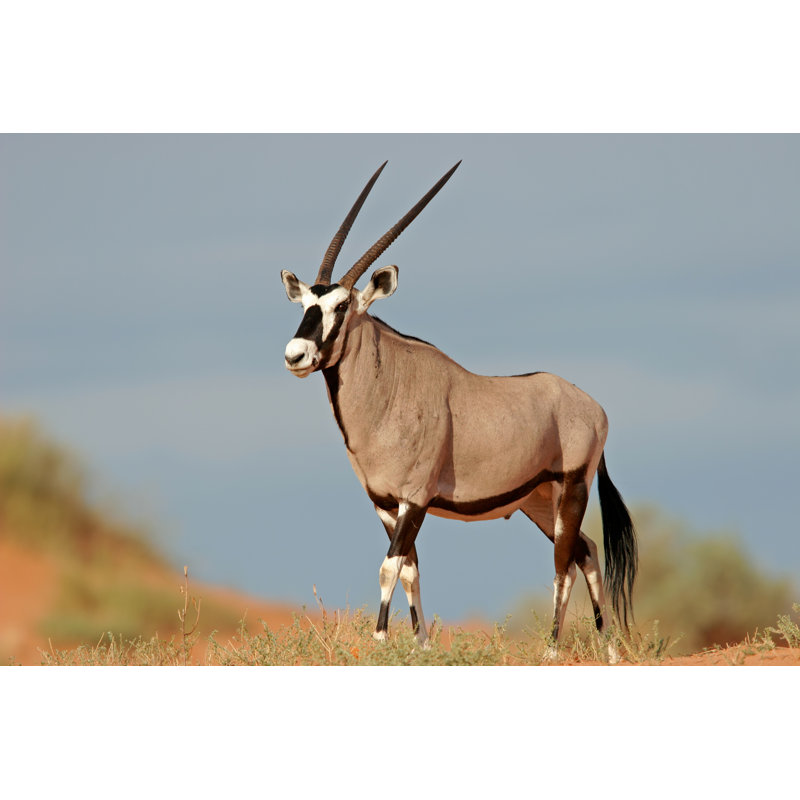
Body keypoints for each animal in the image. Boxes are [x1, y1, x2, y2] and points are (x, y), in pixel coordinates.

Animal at [280, 161, 637, 658]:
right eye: (306, 304)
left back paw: (552, 650)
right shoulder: (385, 504)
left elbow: (389, 567)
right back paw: (609, 651)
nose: (296, 355)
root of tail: (592, 406)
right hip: (539, 501)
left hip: (572, 489)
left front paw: (380, 640)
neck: (389, 387)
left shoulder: (415, 497)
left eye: (343, 304)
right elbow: (409, 569)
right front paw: (421, 646)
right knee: (586, 551)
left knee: (564, 562)